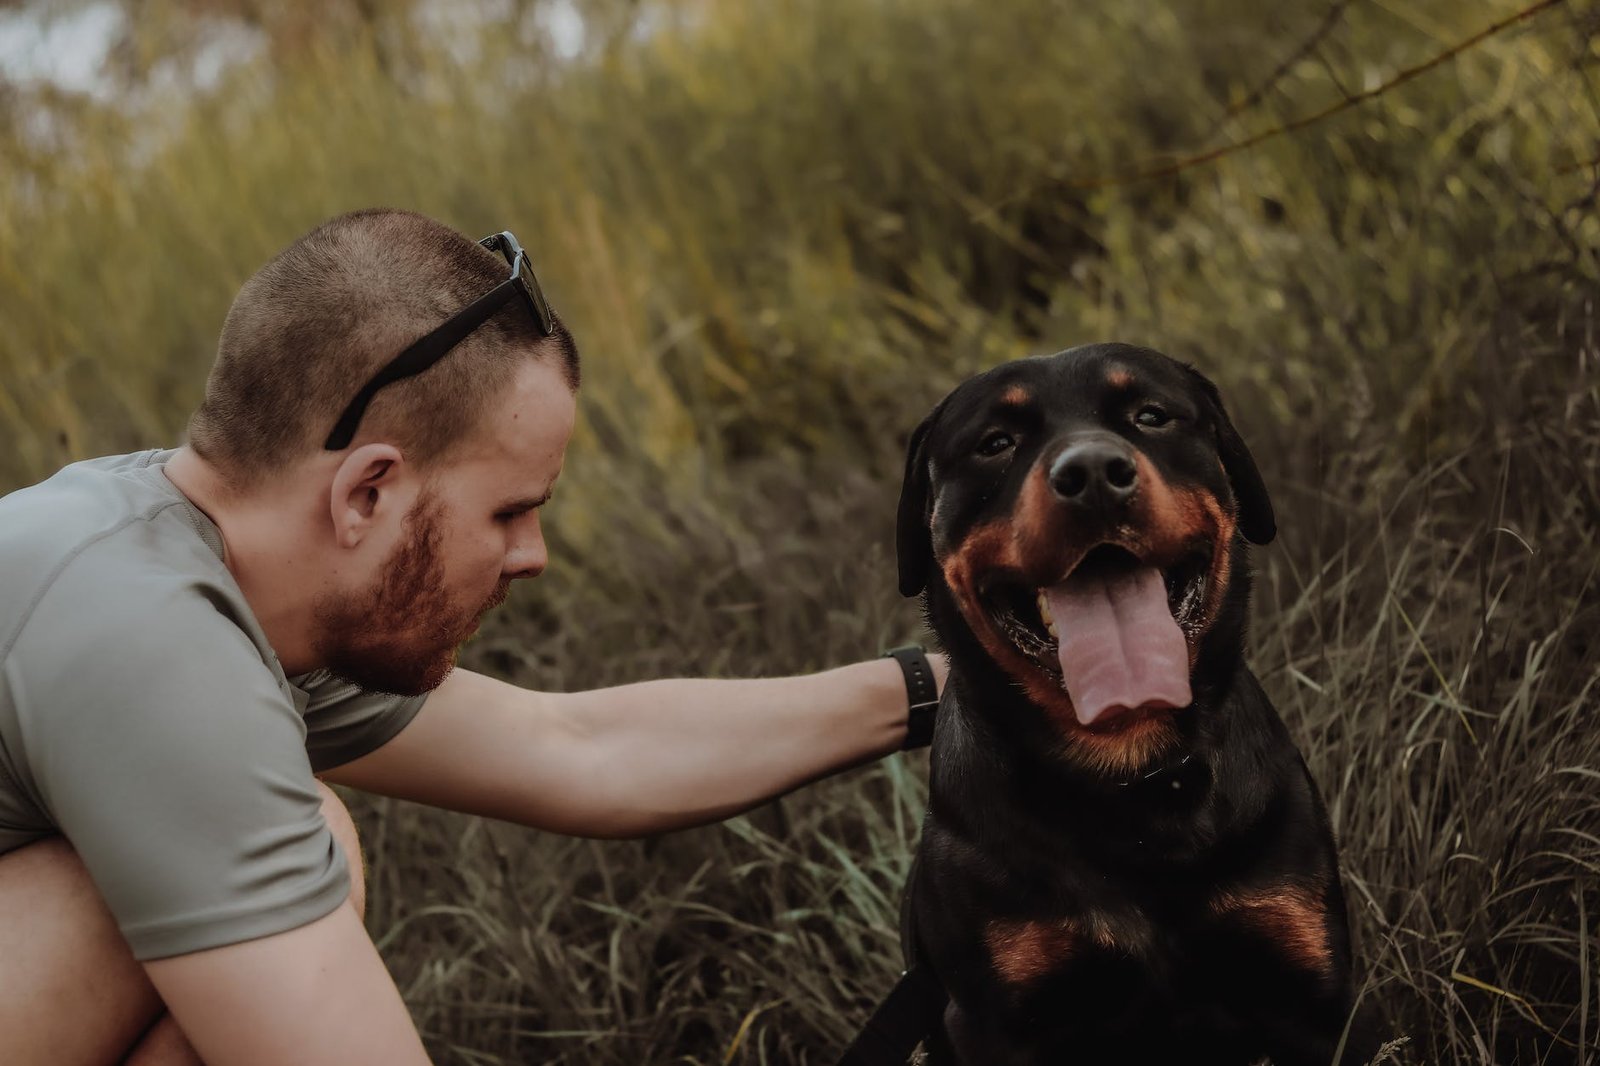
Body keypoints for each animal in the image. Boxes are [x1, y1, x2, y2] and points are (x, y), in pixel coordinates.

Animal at [896, 342, 1369, 1062]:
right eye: (996, 443)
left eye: (1151, 415)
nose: (1092, 472)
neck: (1129, 767)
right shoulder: (993, 1022)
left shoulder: (1311, 987)